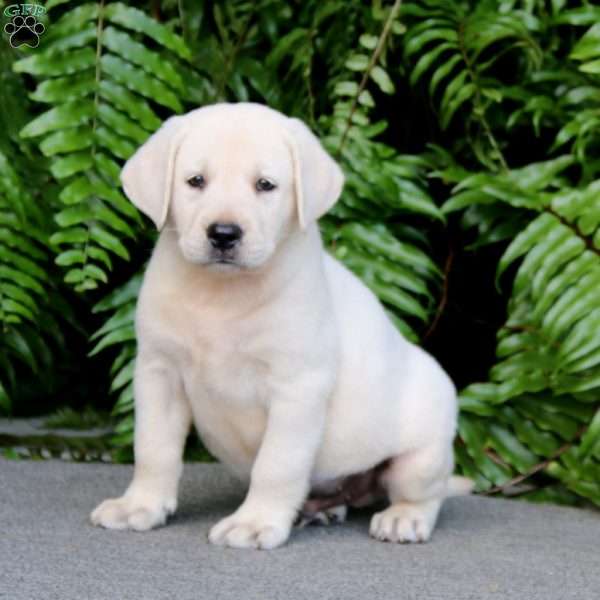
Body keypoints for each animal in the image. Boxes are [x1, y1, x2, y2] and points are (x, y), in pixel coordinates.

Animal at [90, 102, 468, 548]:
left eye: (265, 185)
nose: (224, 233)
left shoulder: (298, 387)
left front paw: (255, 522)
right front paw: (140, 505)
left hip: (423, 452)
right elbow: (153, 449)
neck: (221, 295)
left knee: (423, 493)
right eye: (195, 181)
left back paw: (403, 518)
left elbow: (277, 464)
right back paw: (320, 508)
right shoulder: (158, 373)